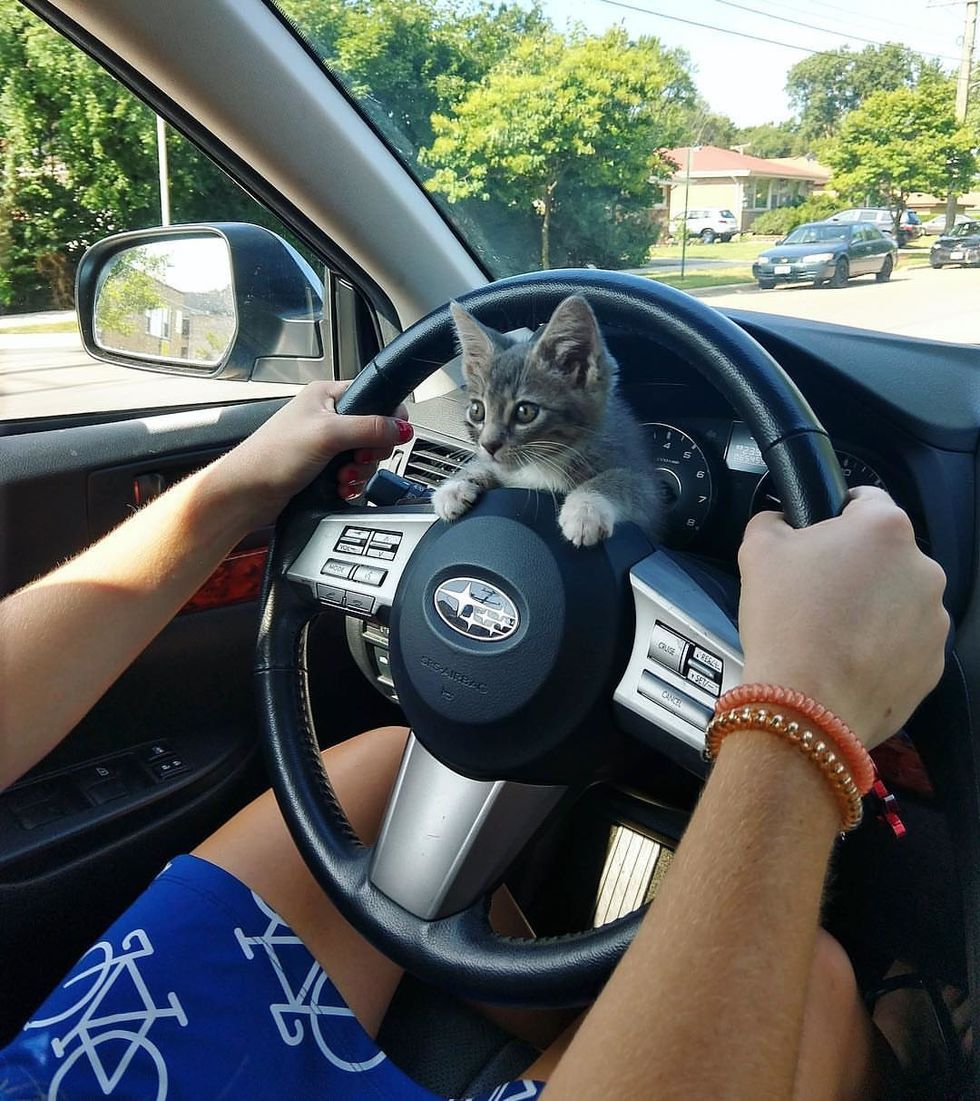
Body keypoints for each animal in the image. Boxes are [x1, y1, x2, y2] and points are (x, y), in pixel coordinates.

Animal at [431, 295, 660, 548]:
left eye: (525, 412)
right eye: (477, 410)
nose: (489, 445)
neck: (544, 465)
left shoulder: (649, 491)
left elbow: (625, 482)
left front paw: (585, 508)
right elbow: (488, 467)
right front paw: (454, 486)